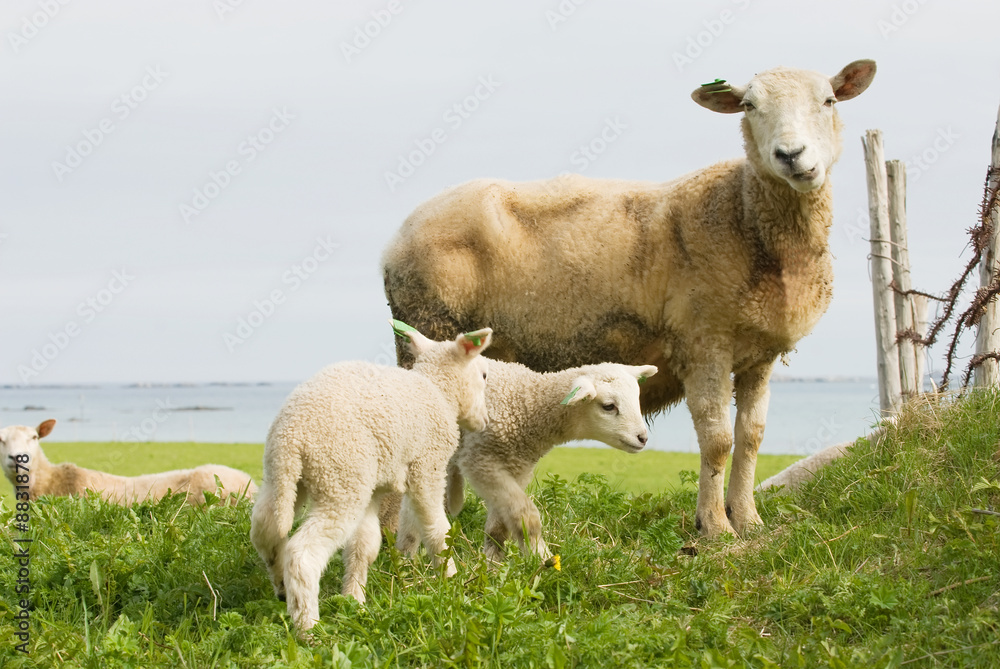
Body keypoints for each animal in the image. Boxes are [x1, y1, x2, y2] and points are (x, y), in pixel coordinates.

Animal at [249, 323, 493, 632]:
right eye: (483, 375)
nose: (485, 421)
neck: (439, 392)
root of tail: (291, 436)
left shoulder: (374, 490)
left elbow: (363, 546)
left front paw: (355, 600)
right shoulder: (427, 468)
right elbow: (438, 529)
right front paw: (452, 579)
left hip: (286, 478)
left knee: (264, 528)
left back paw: (282, 588)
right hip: (340, 480)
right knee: (302, 555)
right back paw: (308, 629)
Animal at [381, 60, 877, 538]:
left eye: (829, 100)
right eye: (749, 106)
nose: (791, 156)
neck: (745, 217)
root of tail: (400, 234)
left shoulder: (760, 355)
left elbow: (751, 438)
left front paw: (749, 521)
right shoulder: (704, 343)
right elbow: (717, 440)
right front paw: (715, 529)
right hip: (430, 327)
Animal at [394, 358, 658, 562]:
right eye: (608, 406)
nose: (643, 438)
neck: (526, 401)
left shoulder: (517, 467)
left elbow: (500, 528)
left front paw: (493, 567)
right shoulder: (481, 460)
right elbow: (527, 516)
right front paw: (544, 561)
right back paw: (406, 559)